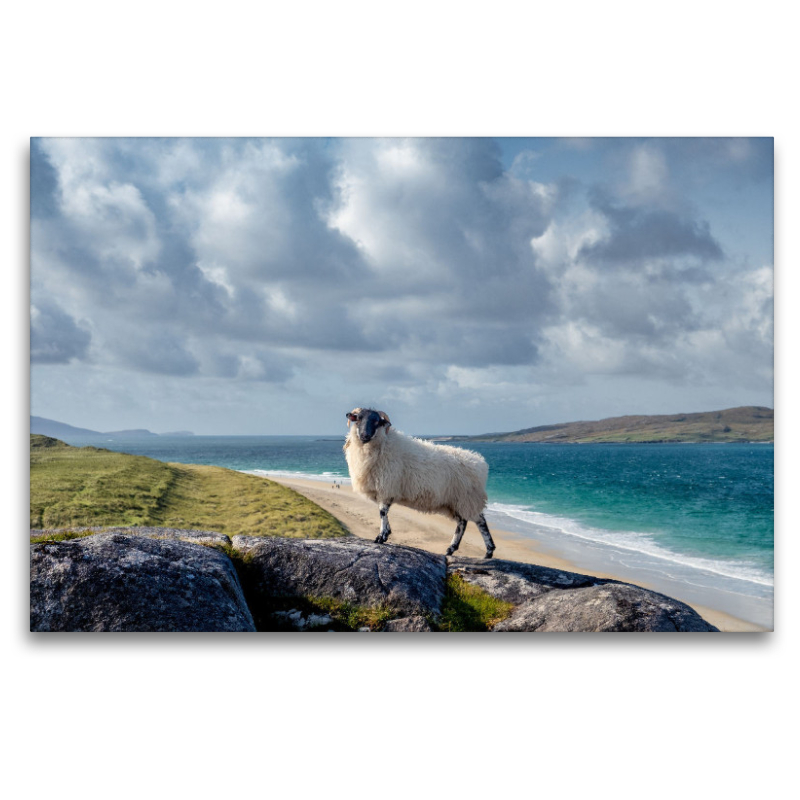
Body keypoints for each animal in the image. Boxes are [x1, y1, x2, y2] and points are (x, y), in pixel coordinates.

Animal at [342, 406, 494, 556]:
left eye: (376, 421)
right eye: (358, 418)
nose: (364, 435)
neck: (384, 442)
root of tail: (480, 463)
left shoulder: (387, 486)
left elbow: (382, 512)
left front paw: (380, 537)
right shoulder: (381, 490)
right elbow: (382, 512)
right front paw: (386, 533)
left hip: (467, 499)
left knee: (479, 521)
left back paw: (487, 550)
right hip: (455, 503)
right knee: (463, 522)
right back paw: (454, 549)